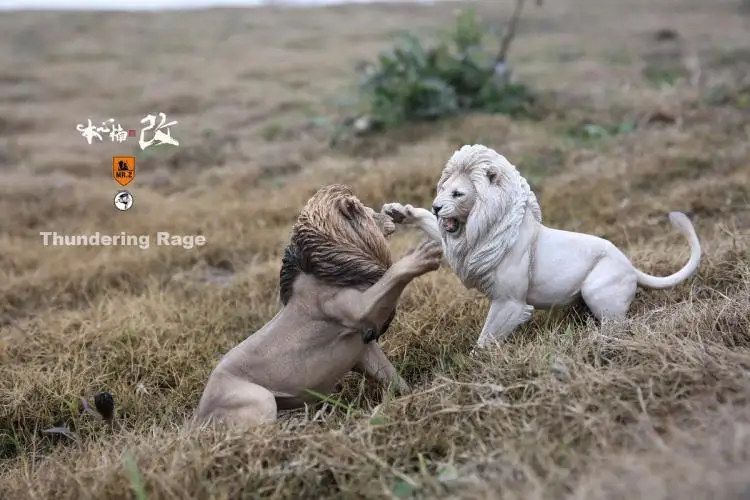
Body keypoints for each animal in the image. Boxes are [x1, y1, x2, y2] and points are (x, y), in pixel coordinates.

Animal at [196, 184, 443, 427]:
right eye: (368, 211)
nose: (387, 213)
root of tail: (198, 416)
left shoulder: (364, 348)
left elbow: (393, 378)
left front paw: (412, 397)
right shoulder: (357, 310)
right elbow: (392, 275)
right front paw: (421, 256)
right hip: (260, 399)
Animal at [382, 144, 702, 348]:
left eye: (458, 193)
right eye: (443, 189)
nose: (437, 207)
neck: (482, 228)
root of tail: (631, 267)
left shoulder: (510, 302)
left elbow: (486, 339)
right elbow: (429, 226)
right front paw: (400, 212)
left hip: (599, 290)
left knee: (618, 325)